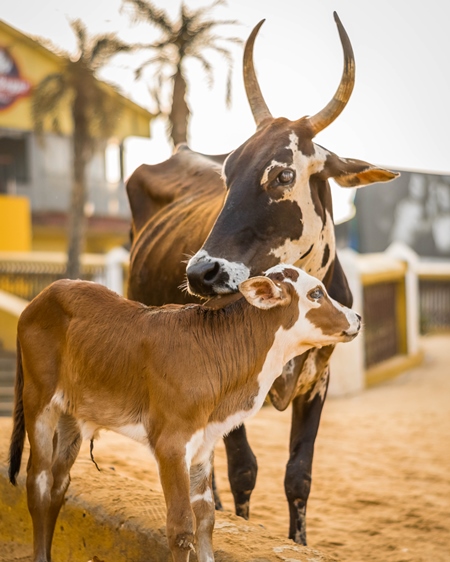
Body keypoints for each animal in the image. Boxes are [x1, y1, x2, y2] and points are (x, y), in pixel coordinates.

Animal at [8, 264, 362, 560]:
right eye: (316, 293)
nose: (357, 318)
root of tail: (38, 300)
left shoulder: (204, 445)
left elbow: (205, 519)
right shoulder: (171, 445)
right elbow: (181, 528)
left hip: (72, 417)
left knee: (59, 485)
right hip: (39, 403)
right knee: (38, 482)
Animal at [125, 13, 398, 544]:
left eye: (283, 175)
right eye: (227, 174)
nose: (202, 273)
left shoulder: (318, 380)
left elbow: (299, 475)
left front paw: (299, 541)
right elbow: (244, 469)